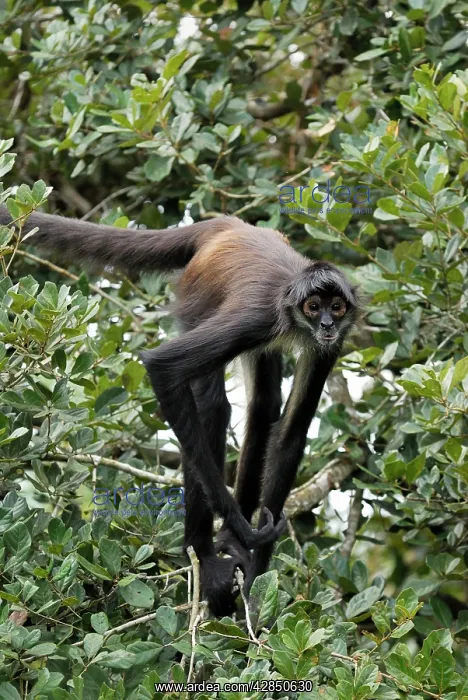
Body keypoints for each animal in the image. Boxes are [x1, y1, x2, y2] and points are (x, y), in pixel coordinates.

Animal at [0, 208, 359, 615]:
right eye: (314, 307)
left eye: (336, 307)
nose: (326, 324)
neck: (295, 319)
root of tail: (225, 226)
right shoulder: (258, 319)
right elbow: (163, 367)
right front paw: (238, 523)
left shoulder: (329, 345)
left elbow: (293, 428)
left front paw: (257, 572)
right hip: (196, 299)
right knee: (212, 406)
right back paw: (205, 554)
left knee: (264, 405)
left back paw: (230, 544)